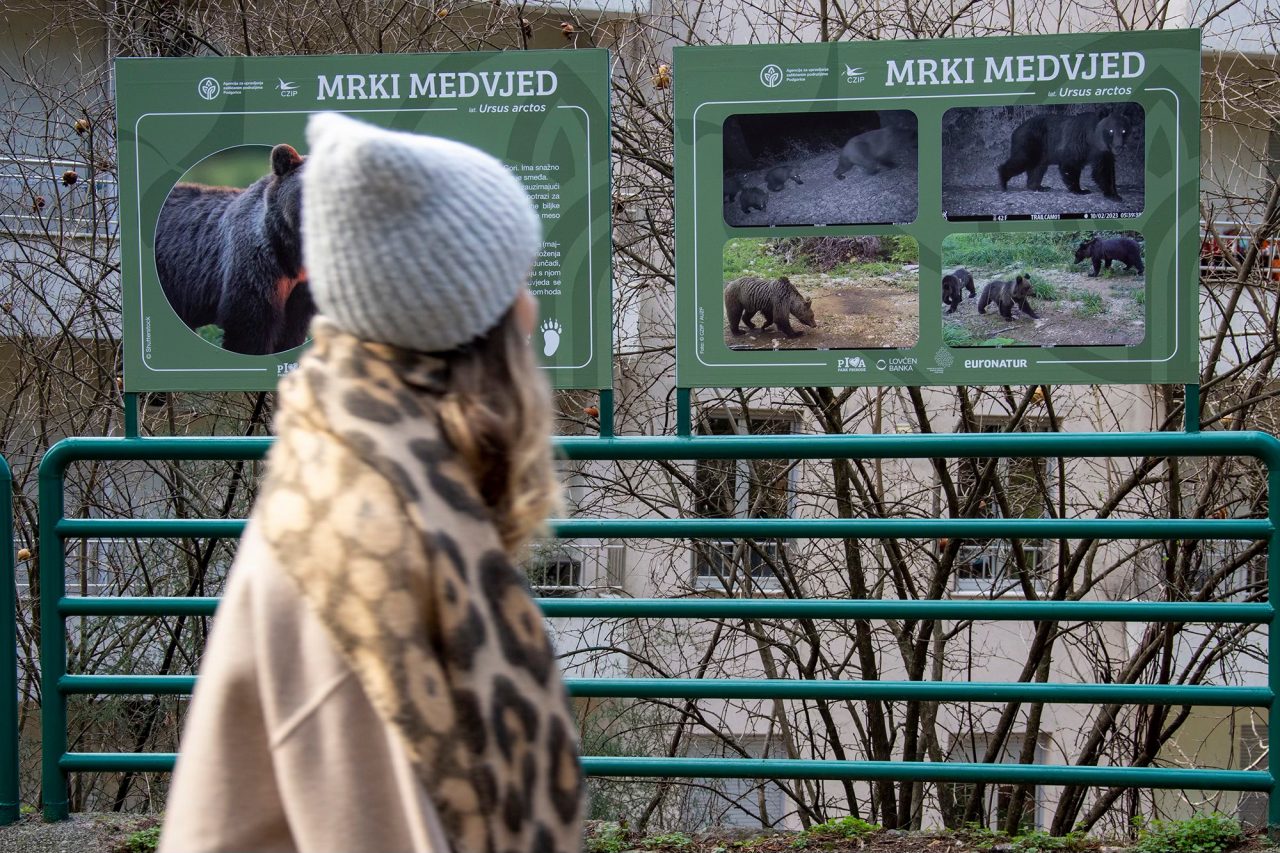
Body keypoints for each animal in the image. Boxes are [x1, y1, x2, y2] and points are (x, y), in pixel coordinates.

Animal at [998, 109, 1131, 201]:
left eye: (1124, 130)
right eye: (1111, 130)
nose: (1118, 147)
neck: (1093, 140)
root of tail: (1016, 130)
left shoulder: (1103, 152)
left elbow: (1104, 170)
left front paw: (1114, 195)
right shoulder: (1078, 143)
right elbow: (1071, 164)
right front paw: (1080, 190)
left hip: (1041, 152)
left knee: (1037, 168)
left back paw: (1039, 187)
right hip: (1031, 142)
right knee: (1022, 160)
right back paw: (1003, 181)